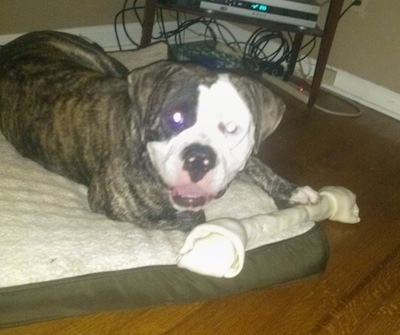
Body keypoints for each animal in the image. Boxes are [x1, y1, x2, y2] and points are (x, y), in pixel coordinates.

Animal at [0, 30, 318, 231]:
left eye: (231, 127)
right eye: (174, 118)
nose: (199, 158)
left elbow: (257, 164)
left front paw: (292, 190)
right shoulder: (115, 204)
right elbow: (195, 218)